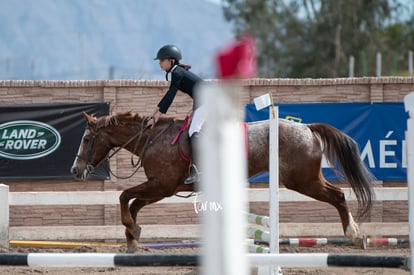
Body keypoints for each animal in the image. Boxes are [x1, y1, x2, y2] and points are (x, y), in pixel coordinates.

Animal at [71, 111, 376, 253]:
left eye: (86, 139)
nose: (75, 170)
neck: (152, 138)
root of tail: (307, 128)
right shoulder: (163, 187)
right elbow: (133, 204)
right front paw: (133, 237)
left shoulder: (162, 185)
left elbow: (124, 197)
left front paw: (131, 231)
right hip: (304, 179)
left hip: (303, 180)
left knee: (338, 196)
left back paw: (354, 234)